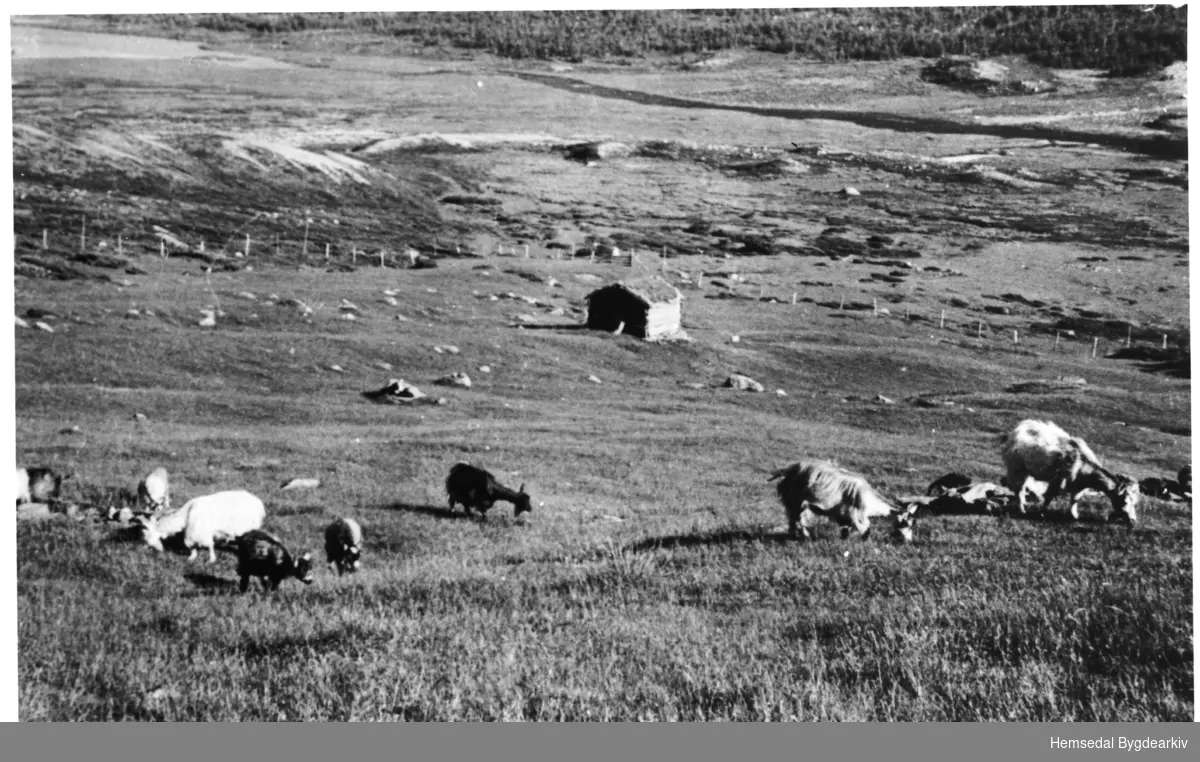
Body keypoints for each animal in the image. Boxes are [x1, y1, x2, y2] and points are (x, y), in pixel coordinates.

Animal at [136, 492, 267, 564]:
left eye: (147, 534)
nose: (143, 549)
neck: (187, 514)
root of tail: (259, 503)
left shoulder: (200, 532)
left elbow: (208, 545)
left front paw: (211, 559)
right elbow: (193, 546)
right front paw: (192, 557)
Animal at [768, 463, 916, 544]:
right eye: (906, 523)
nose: (909, 541)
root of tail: (789, 470)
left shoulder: (844, 516)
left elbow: (846, 530)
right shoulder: (857, 513)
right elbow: (866, 530)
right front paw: (866, 543)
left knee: (793, 521)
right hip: (796, 501)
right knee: (797, 520)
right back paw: (805, 537)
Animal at [998, 420, 1137, 528]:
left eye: (1134, 502)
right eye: (1124, 501)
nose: (1133, 520)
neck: (1083, 464)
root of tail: (1012, 433)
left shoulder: (1078, 485)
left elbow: (1074, 500)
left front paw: (1074, 516)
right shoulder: (1058, 480)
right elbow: (1049, 497)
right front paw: (1042, 513)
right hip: (1017, 469)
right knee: (1019, 490)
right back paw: (1022, 510)